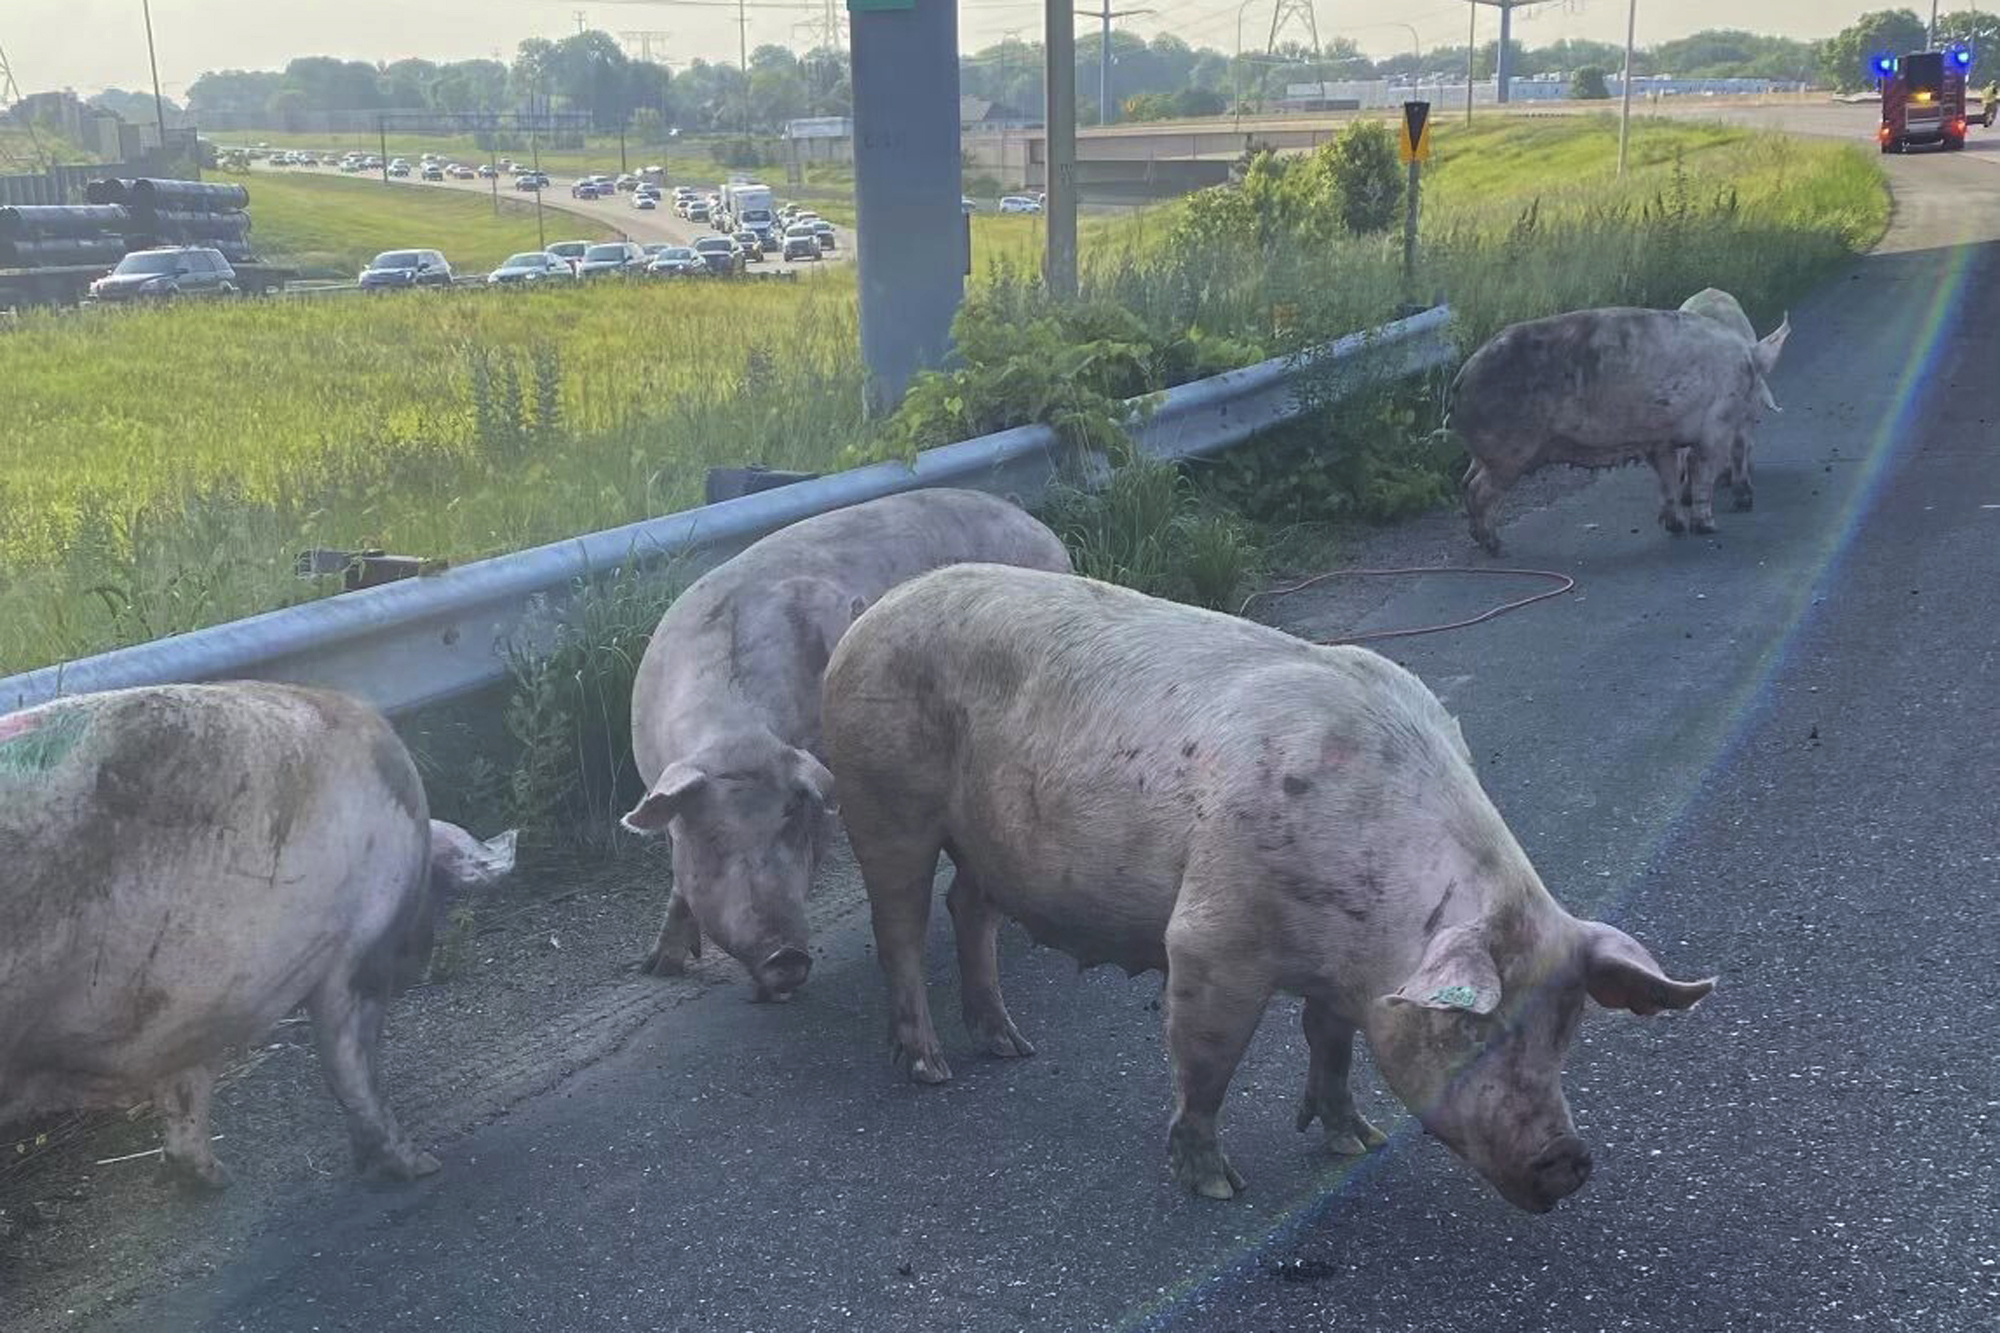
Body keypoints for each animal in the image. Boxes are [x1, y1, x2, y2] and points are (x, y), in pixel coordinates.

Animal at [1, 680, 516, 1184]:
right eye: (434, 886)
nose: (422, 954)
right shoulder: (356, 953)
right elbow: (351, 1066)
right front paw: (421, 1165)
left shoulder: (197, 1003)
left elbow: (188, 1090)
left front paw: (209, 1180)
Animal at [624, 488, 1072, 996]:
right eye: (714, 839)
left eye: (791, 822)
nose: (787, 956)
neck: (734, 734)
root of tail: (1039, 528)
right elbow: (679, 885)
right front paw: (657, 968)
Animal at [820, 564, 1712, 1208]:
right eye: (1470, 1028)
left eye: (1569, 1027)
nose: (1570, 1158)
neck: (1368, 942)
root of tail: (868, 614)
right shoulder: (1211, 940)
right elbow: (1206, 1063)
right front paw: (1217, 1186)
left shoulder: (1342, 970)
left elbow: (1332, 1046)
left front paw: (1356, 1141)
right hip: (883, 802)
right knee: (900, 929)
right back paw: (931, 1067)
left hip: (983, 842)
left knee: (967, 908)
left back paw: (1011, 1046)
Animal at [1456, 304, 1800, 552]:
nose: (1761, 414)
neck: (1748, 365)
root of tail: (1460, 380)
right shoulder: (1715, 428)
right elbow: (1701, 470)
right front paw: (1709, 527)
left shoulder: (1661, 440)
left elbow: (1668, 479)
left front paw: (1675, 526)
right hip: (1508, 452)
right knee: (1479, 489)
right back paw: (1496, 547)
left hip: (1485, 454)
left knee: (1466, 481)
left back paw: (1480, 538)